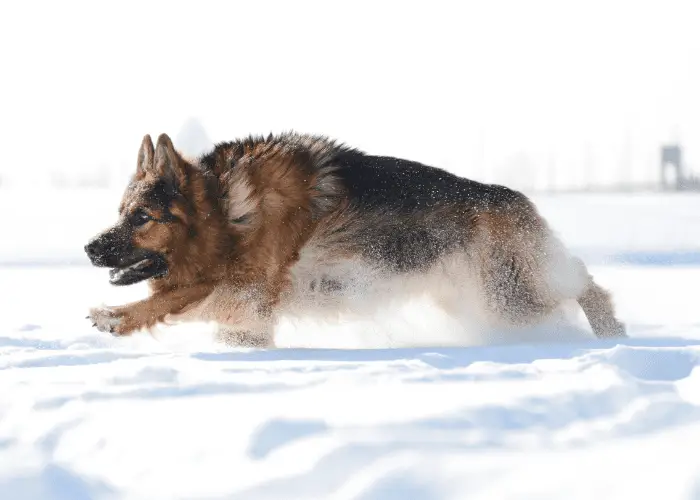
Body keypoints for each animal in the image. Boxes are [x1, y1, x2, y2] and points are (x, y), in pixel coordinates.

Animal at [85, 131, 628, 346]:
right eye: (121, 213)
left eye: (142, 217)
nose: (89, 249)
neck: (227, 213)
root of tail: (515, 199)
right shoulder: (246, 312)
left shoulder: (244, 288)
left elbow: (168, 300)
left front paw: (115, 317)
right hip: (481, 301)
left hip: (508, 297)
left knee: (583, 281)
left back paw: (611, 331)